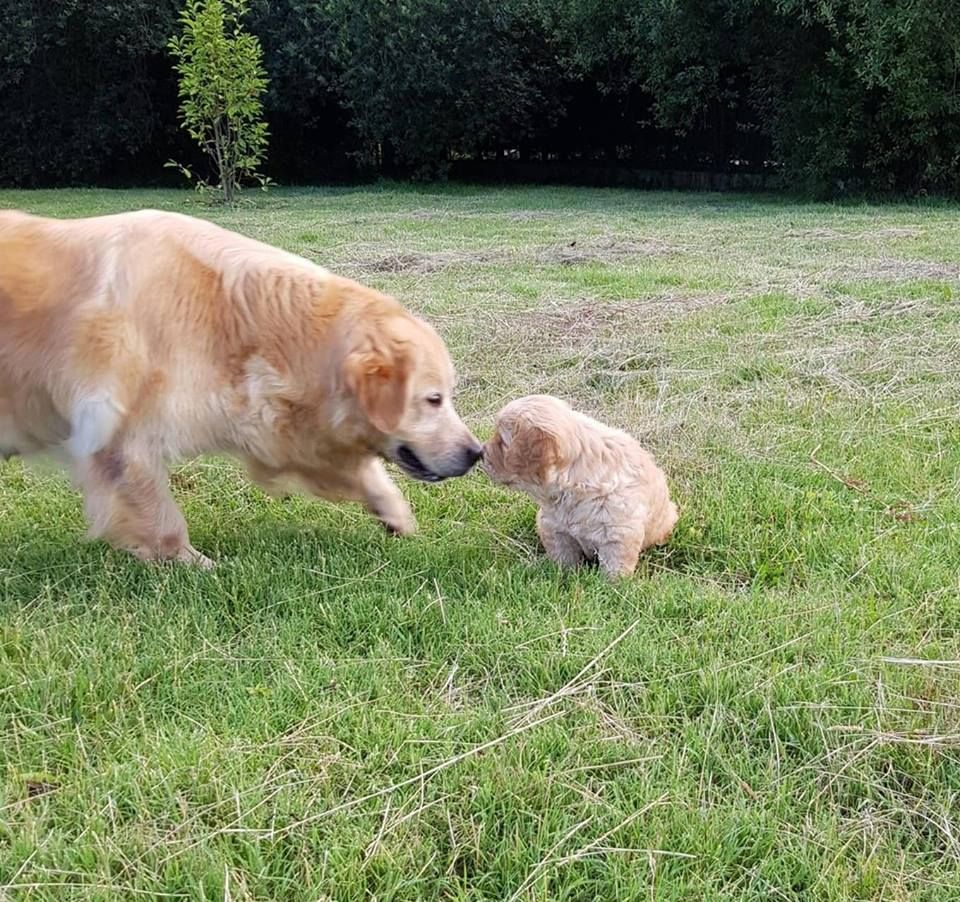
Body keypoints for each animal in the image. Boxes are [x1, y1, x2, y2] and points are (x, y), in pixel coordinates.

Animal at [0, 208, 480, 568]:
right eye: (433, 399)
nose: (476, 452)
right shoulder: (119, 437)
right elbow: (161, 516)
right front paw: (194, 565)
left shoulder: (278, 427)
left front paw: (393, 512)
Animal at [484, 396, 680, 580]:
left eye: (502, 442)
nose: (481, 452)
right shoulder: (554, 528)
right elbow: (563, 557)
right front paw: (563, 576)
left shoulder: (619, 535)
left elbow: (615, 568)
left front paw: (611, 588)